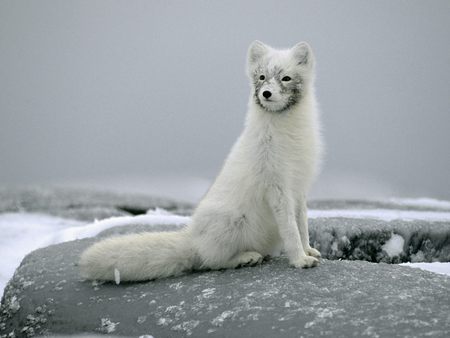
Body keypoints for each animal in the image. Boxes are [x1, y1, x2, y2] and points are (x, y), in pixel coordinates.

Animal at [79, 41, 322, 282]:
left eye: (286, 78)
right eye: (262, 77)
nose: (266, 93)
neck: (288, 132)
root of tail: (193, 238)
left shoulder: (299, 187)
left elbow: (302, 224)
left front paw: (308, 250)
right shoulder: (276, 186)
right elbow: (290, 229)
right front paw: (300, 259)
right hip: (232, 222)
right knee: (211, 261)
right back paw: (245, 258)